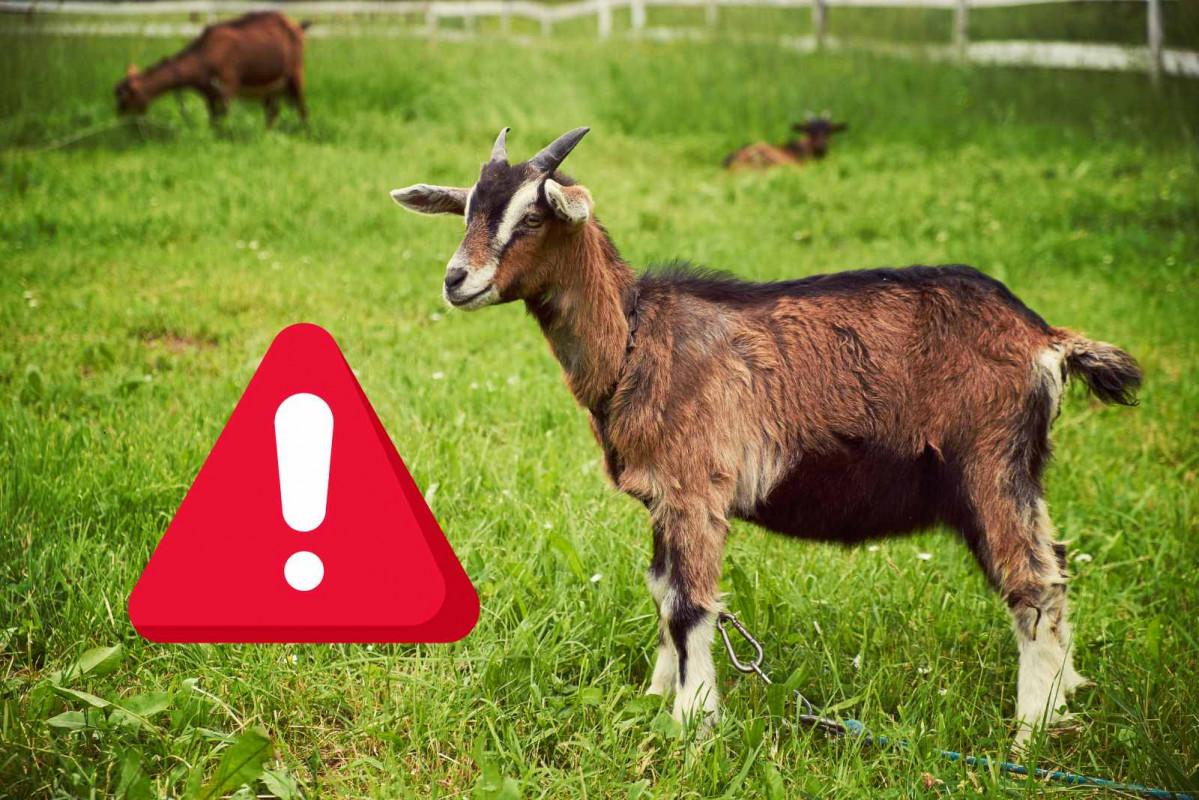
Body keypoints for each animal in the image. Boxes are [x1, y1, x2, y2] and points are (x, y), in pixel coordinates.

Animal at [115, 12, 310, 128]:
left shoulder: (228, 85)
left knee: (302, 108)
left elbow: (223, 116)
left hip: (296, 72)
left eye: (125, 97)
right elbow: (213, 119)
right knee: (272, 111)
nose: (119, 114)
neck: (203, 56)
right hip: (273, 86)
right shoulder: (208, 92)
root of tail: (297, 25)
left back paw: (305, 132)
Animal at [390, 128, 1141, 744]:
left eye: (532, 214)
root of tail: (1043, 338)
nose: (457, 280)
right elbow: (660, 590)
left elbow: (690, 604)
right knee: (1056, 566)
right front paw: (657, 694)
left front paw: (693, 726)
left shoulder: (696, 487)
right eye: (467, 210)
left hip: (989, 464)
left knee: (1033, 584)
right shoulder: (662, 497)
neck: (636, 339)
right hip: (1019, 472)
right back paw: (1063, 702)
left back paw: (1028, 733)